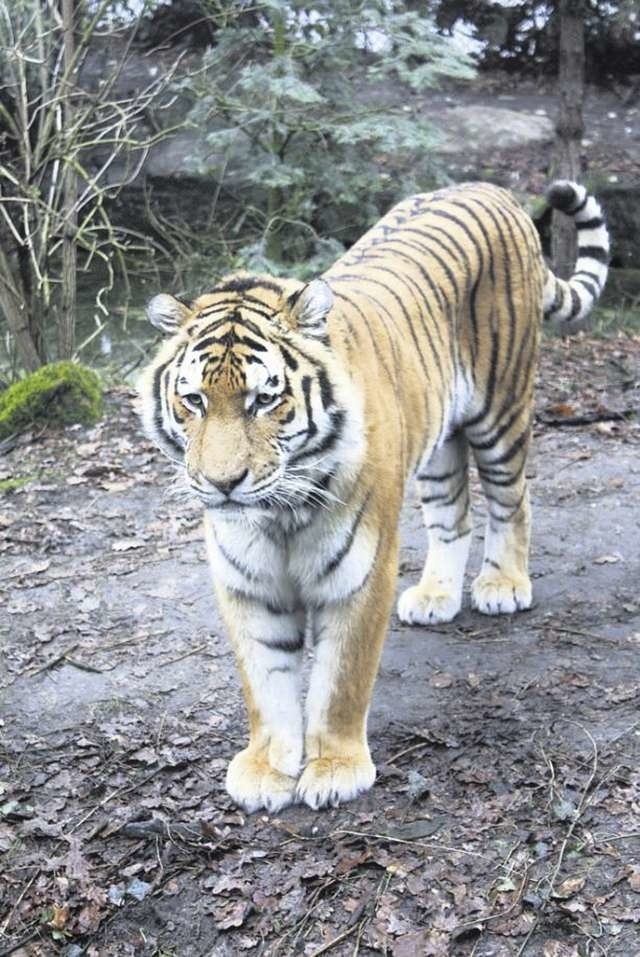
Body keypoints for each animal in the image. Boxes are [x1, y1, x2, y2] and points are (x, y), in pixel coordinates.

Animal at [139, 177, 608, 808]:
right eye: (193, 401)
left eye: (264, 400)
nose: (222, 483)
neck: (277, 514)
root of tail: (491, 189)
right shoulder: (247, 581)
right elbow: (264, 680)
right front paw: (266, 767)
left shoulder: (359, 573)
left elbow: (341, 679)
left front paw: (335, 769)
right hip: (438, 445)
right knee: (453, 517)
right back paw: (435, 597)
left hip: (502, 409)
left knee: (513, 499)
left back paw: (503, 585)